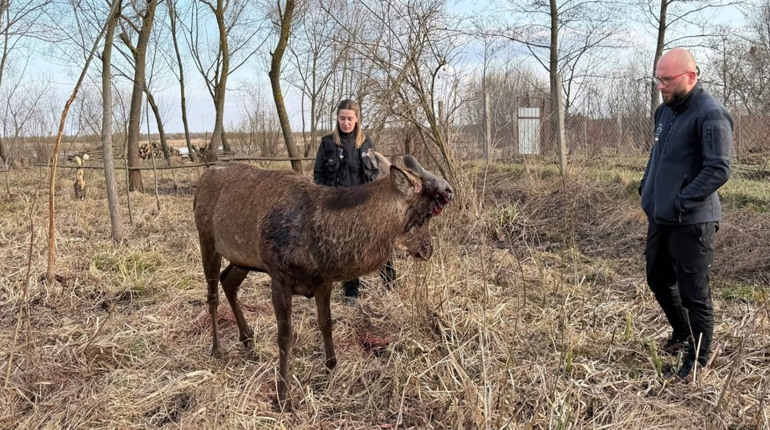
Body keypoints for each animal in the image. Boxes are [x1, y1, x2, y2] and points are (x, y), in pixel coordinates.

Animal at [193, 153, 453, 409]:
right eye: (425, 214)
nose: (428, 249)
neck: (322, 248)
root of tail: (204, 176)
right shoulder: (279, 275)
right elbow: (285, 336)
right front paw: (283, 397)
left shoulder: (323, 281)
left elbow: (326, 323)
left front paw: (332, 367)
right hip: (207, 238)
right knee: (212, 293)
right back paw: (217, 349)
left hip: (243, 258)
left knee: (228, 281)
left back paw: (248, 339)